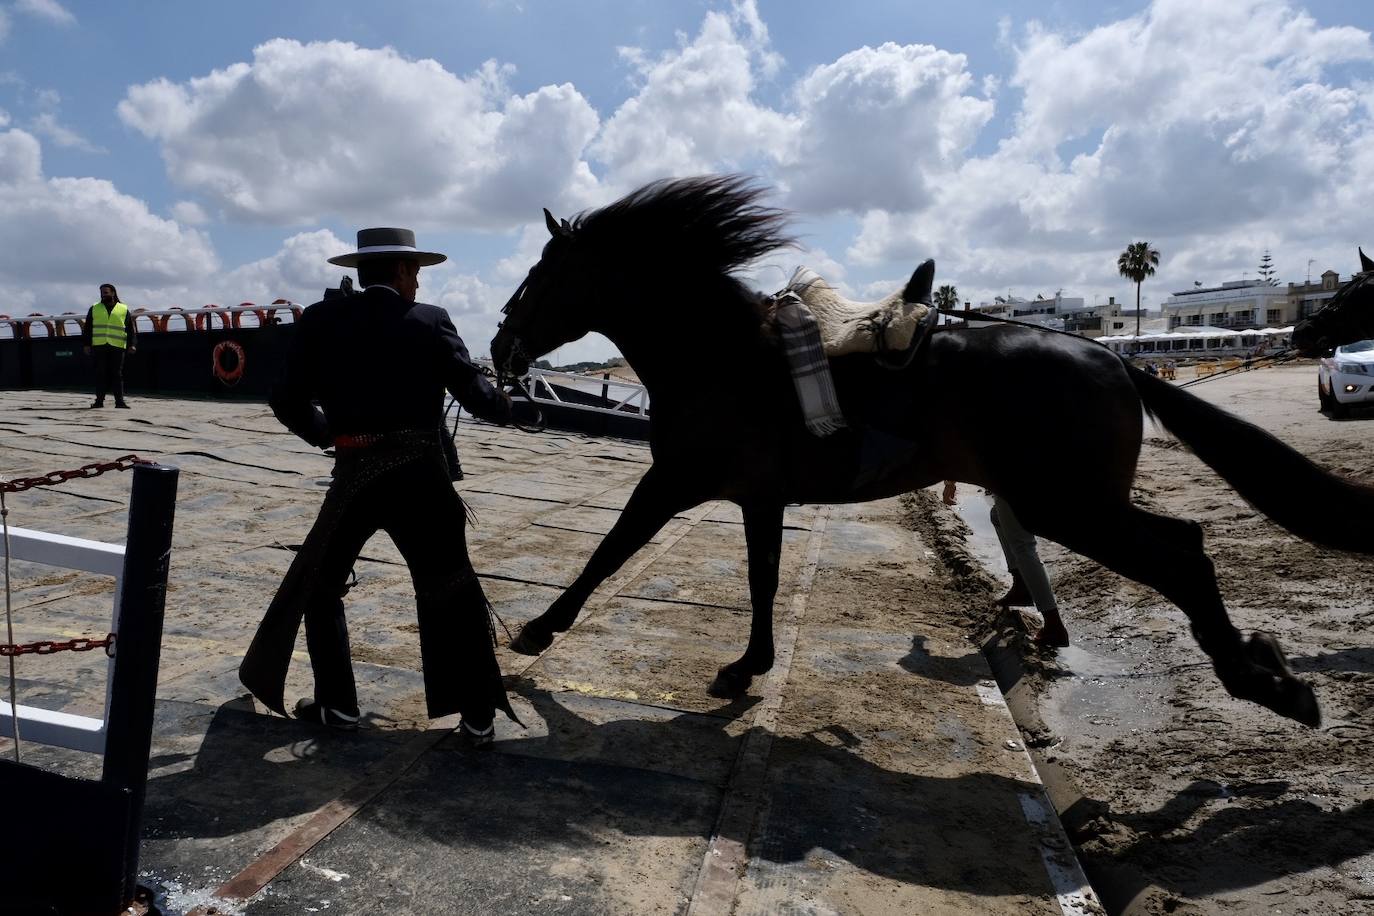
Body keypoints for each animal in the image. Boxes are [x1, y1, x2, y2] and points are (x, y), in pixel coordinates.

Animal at [494, 175, 1374, 725]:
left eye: (543, 273)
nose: (501, 345)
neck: (727, 357)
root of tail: (1116, 359)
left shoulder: (675, 478)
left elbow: (610, 551)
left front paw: (537, 630)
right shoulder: (758, 497)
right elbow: (760, 580)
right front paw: (748, 667)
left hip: (1071, 507)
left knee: (1184, 557)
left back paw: (1266, 682)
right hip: (1081, 505)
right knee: (1185, 545)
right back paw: (1262, 673)